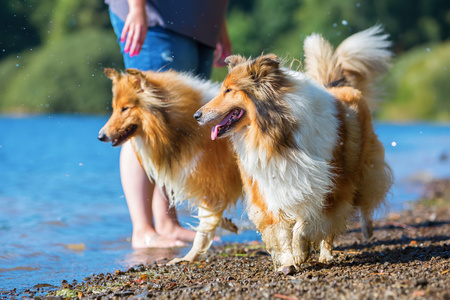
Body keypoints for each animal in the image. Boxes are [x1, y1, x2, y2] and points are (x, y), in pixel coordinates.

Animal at [98, 68, 243, 262]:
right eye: (114, 108)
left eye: (125, 108)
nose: (101, 136)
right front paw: (227, 224)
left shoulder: (212, 184)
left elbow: (203, 227)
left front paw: (188, 258)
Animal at [195, 26, 392, 272]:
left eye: (228, 90)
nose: (196, 115)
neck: (277, 135)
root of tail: (339, 87)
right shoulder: (269, 187)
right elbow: (281, 230)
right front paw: (289, 262)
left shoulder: (326, 186)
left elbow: (306, 223)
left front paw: (300, 252)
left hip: (360, 172)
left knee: (358, 207)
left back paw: (343, 244)